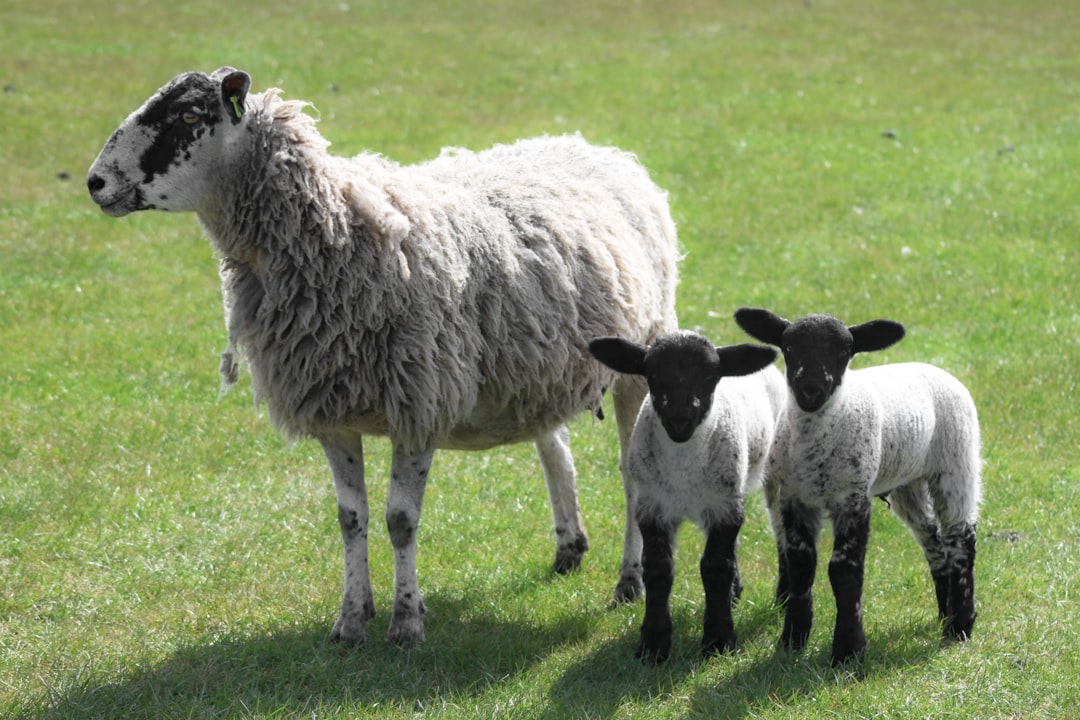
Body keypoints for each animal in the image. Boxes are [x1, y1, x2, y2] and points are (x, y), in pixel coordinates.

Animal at [86, 67, 673, 647]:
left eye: (189, 114)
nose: (95, 182)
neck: (339, 232)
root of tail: (593, 147)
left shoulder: (417, 404)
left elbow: (399, 520)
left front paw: (406, 622)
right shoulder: (332, 410)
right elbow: (350, 518)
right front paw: (351, 619)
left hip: (640, 356)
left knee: (631, 475)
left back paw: (628, 582)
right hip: (536, 369)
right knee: (556, 448)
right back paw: (569, 548)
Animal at [587, 332, 781, 664]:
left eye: (711, 376)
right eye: (651, 375)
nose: (680, 419)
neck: (683, 470)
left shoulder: (724, 507)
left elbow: (715, 567)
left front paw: (718, 640)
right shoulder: (652, 507)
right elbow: (657, 568)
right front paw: (653, 644)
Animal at [734, 306, 980, 669]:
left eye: (843, 351)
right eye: (788, 348)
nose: (810, 390)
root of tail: (933, 368)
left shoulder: (852, 496)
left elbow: (844, 570)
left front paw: (848, 650)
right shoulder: (795, 497)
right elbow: (801, 564)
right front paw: (792, 640)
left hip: (957, 463)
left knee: (960, 539)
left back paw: (959, 626)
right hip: (906, 483)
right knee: (933, 540)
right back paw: (944, 614)